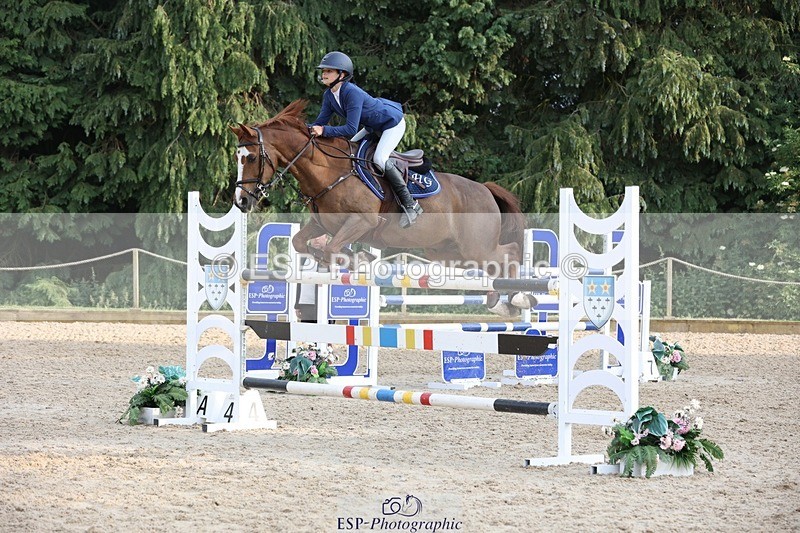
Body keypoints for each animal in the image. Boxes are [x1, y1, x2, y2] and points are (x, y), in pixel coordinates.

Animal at [230, 99, 530, 316]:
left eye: (252, 157)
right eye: (237, 157)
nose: (241, 201)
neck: (329, 171)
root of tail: (485, 189)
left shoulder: (363, 222)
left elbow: (331, 248)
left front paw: (357, 259)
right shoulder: (322, 224)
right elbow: (302, 243)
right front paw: (355, 257)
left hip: (475, 247)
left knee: (509, 253)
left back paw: (518, 297)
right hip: (446, 252)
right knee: (494, 266)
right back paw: (501, 302)